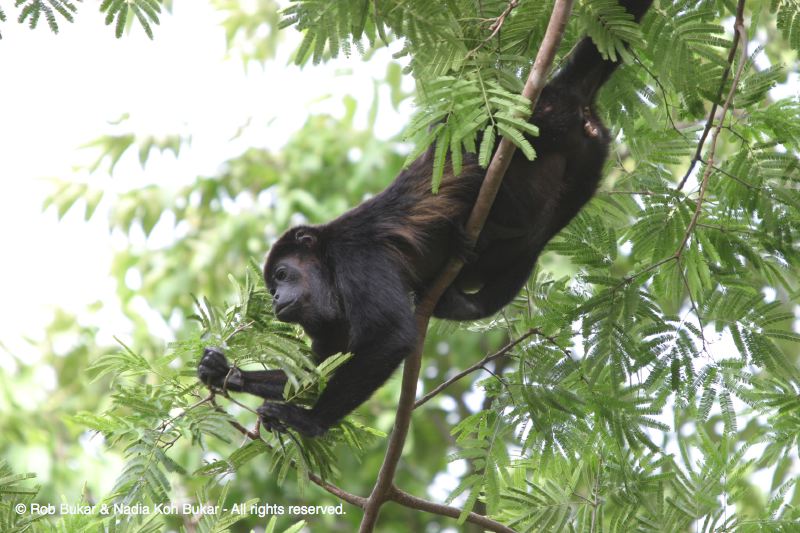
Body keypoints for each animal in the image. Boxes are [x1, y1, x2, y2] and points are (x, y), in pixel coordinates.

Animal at [198, 0, 654, 437]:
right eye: (272, 283)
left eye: (282, 274)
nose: (276, 298)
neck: (325, 263)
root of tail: (556, 93)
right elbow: (316, 368)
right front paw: (224, 372)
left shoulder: (357, 258)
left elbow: (391, 337)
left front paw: (309, 421)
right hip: (587, 160)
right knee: (529, 248)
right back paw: (463, 293)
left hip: (542, 129)